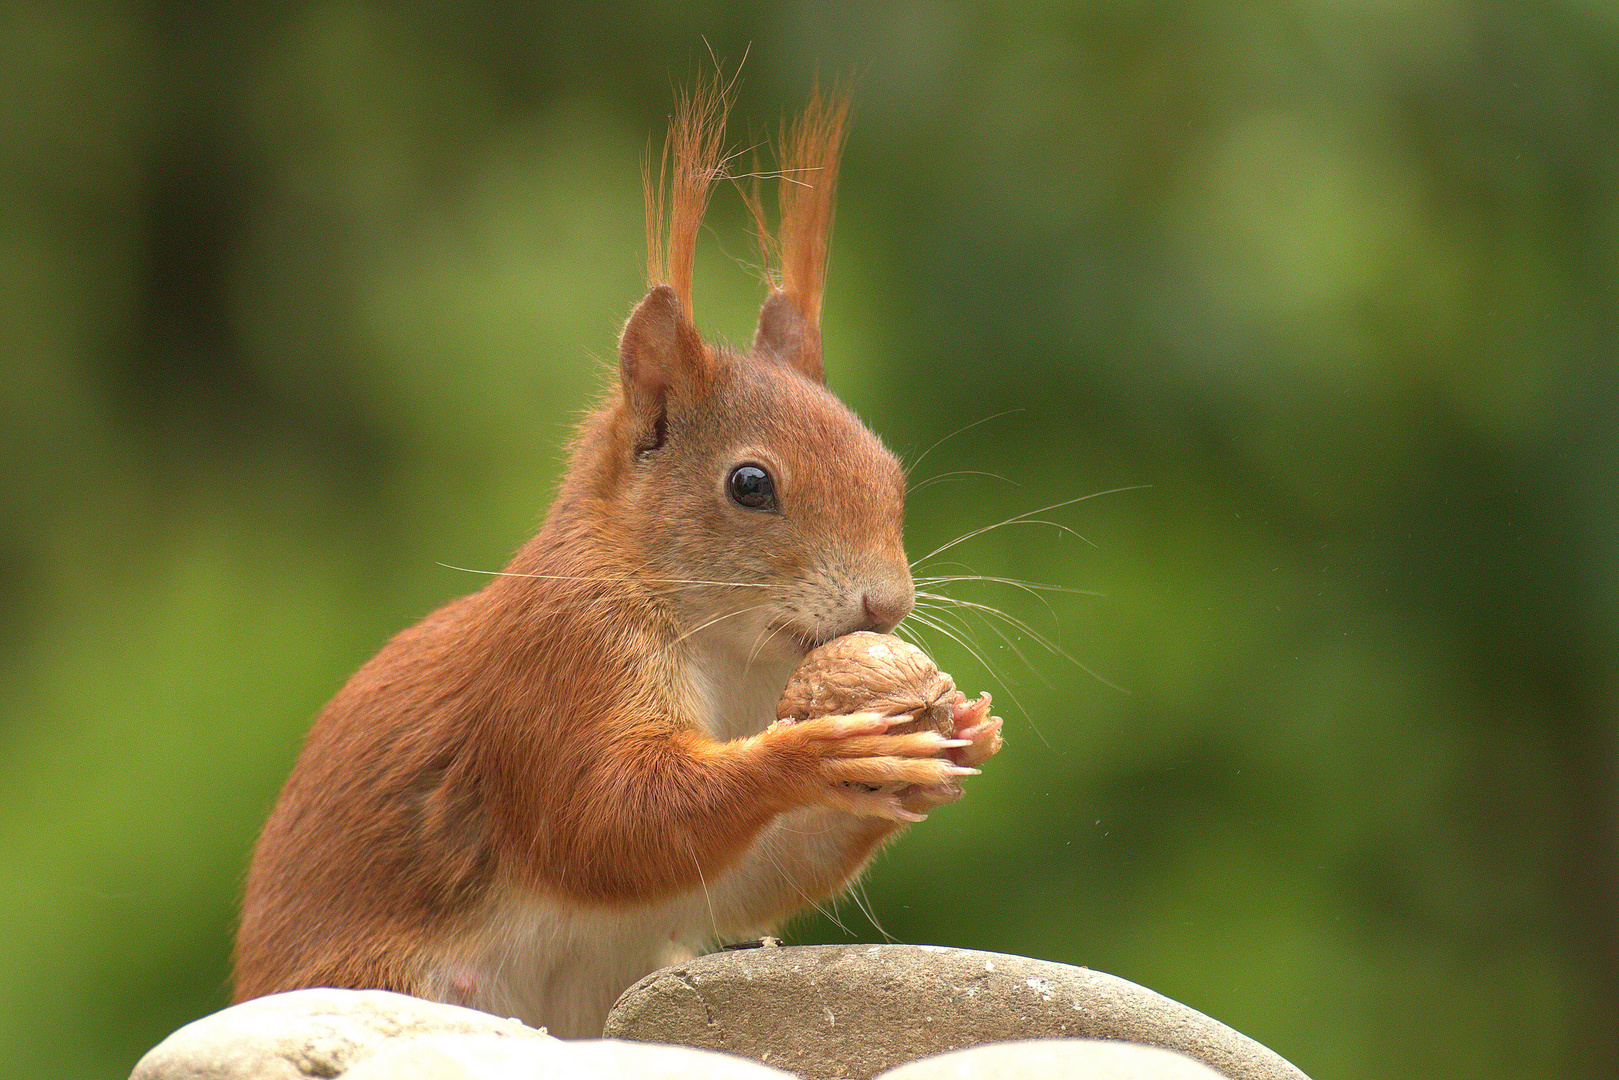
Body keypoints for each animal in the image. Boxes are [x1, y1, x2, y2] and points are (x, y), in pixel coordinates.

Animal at [234, 78, 1003, 1036]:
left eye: (889, 470)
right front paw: (814, 757)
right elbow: (608, 820)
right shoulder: (560, 660)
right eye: (750, 485)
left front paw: (960, 733)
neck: (729, 651)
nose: (887, 606)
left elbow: (741, 881)